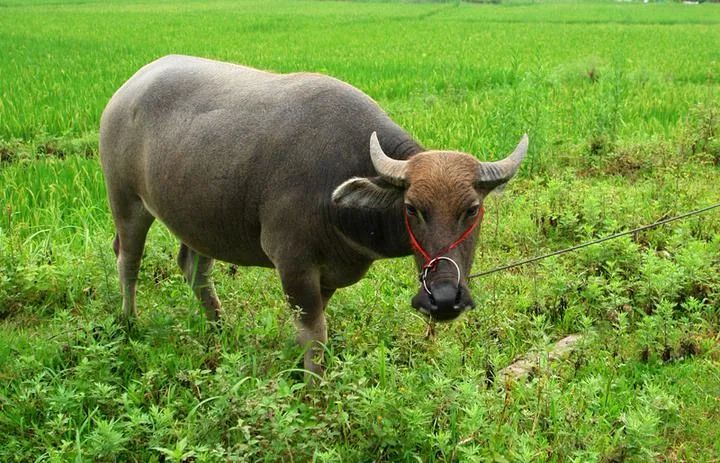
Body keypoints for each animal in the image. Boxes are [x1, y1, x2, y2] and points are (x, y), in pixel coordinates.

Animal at [100, 55, 527, 376]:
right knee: (128, 259)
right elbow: (314, 333)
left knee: (194, 269)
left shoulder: (328, 275)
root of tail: (126, 91)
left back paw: (219, 330)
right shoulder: (293, 264)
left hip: (200, 220)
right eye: (412, 208)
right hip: (126, 202)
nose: (443, 299)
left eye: (472, 209)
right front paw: (313, 385)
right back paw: (129, 321)